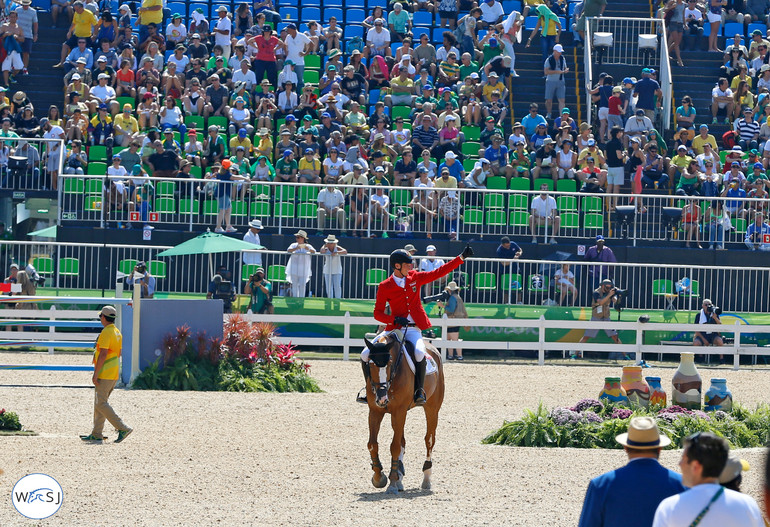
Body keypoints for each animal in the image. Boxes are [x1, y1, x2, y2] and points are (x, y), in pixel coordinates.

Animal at [362, 334, 444, 496]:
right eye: (370, 364)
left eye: (389, 364)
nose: (382, 399)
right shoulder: (375, 411)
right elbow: (373, 444)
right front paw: (379, 477)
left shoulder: (398, 411)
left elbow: (394, 446)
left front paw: (392, 482)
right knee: (403, 441)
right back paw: (400, 478)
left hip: (432, 409)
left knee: (429, 440)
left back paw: (426, 478)